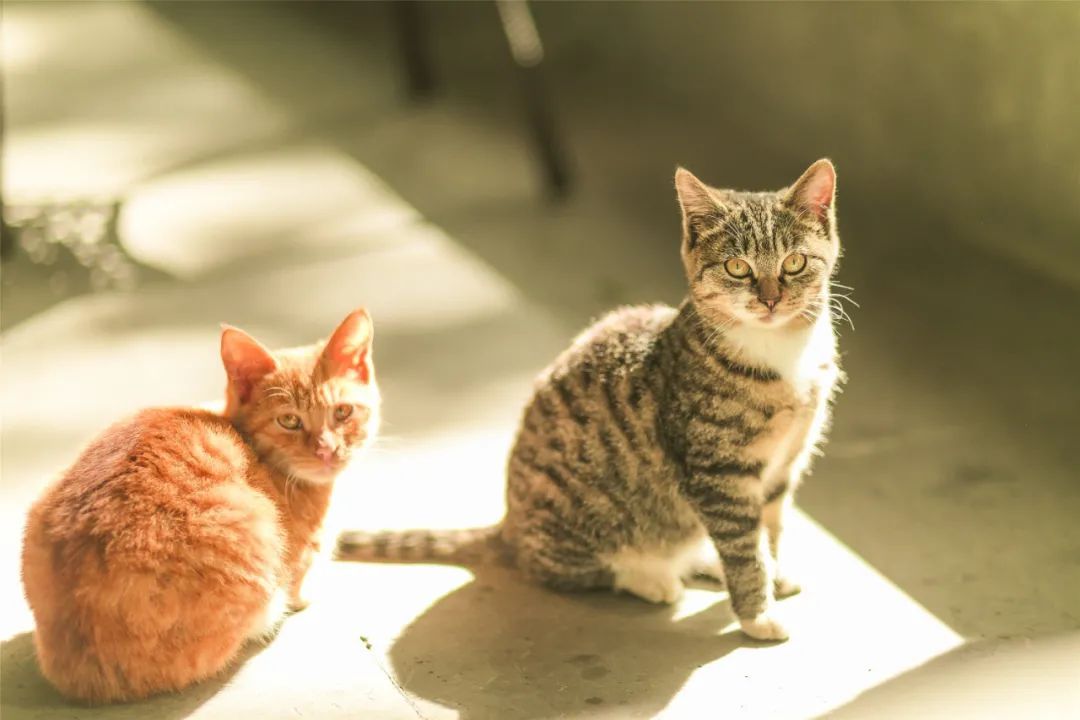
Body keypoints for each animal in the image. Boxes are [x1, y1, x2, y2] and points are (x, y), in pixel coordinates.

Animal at [336, 158, 842, 643]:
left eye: (795, 262)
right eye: (737, 267)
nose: (771, 299)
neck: (780, 353)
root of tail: (509, 525)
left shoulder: (785, 462)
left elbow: (769, 528)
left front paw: (774, 576)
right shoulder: (718, 473)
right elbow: (743, 547)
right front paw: (758, 614)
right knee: (571, 568)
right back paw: (652, 578)